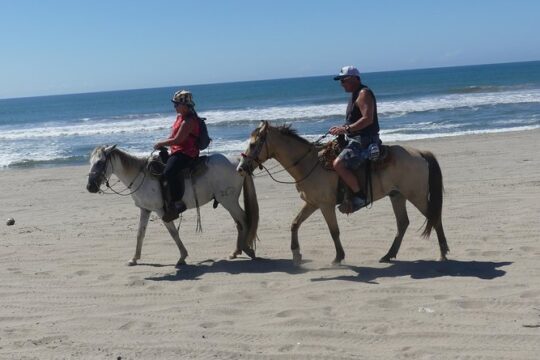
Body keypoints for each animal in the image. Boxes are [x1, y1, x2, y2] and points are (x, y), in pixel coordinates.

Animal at [87, 146, 260, 268]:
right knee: (239, 223)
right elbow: (140, 234)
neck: (141, 177)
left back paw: (248, 249)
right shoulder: (145, 209)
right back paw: (236, 251)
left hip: (229, 201)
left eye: (100, 162)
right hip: (228, 202)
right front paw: (134, 258)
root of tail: (238, 163)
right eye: (90, 162)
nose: (90, 187)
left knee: (244, 220)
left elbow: (173, 233)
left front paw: (182, 257)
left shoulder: (161, 211)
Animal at [238, 121, 450, 264]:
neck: (310, 164)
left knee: (434, 217)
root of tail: (420, 153)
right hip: (397, 196)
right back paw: (388, 255)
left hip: (416, 196)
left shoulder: (325, 205)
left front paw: (338, 257)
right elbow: (295, 223)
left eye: (253, 144)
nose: (240, 167)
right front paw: (296, 253)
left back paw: (443, 253)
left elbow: (334, 231)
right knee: (403, 223)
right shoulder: (312, 203)